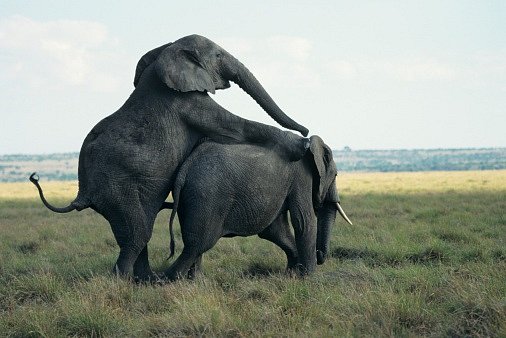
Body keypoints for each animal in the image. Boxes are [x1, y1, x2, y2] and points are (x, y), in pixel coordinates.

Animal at [31, 35, 310, 280]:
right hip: (114, 186)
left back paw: (145, 279)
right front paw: (302, 144)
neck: (168, 50)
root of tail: (82, 192)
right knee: (137, 233)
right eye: (218, 55)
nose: (306, 129)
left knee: (141, 225)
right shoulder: (188, 101)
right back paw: (124, 282)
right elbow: (235, 126)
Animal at [163, 135, 352, 280]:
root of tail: (186, 166)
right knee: (198, 245)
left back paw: (197, 282)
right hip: (206, 197)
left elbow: (275, 230)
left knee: (196, 246)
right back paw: (171, 280)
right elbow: (304, 222)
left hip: (190, 198)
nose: (320, 255)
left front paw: (290, 275)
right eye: (336, 175)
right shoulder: (301, 177)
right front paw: (308, 278)